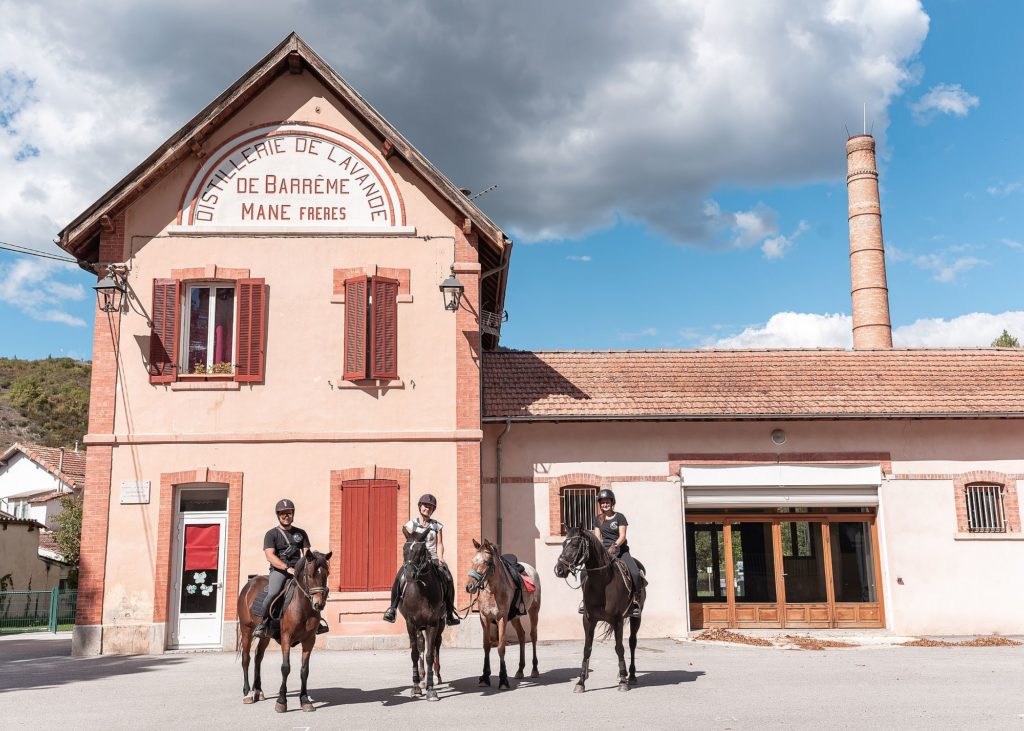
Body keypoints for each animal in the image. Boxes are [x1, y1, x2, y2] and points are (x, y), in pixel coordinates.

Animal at [235, 548, 331, 708]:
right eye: (310, 575)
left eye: (327, 574)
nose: (319, 604)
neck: (303, 606)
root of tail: (250, 584)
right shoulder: (286, 637)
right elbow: (285, 668)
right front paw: (281, 701)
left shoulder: (309, 640)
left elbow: (304, 670)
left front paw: (304, 700)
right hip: (246, 628)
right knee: (246, 658)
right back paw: (247, 693)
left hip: (266, 636)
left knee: (258, 658)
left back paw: (258, 691)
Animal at [397, 528, 446, 696]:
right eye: (404, 549)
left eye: (421, 550)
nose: (409, 574)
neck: (421, 591)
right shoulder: (411, 623)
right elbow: (415, 652)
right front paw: (417, 686)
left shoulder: (433, 623)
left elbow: (430, 654)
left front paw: (431, 689)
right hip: (419, 626)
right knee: (421, 646)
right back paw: (423, 677)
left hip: (441, 624)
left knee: (436, 645)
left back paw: (437, 676)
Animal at [466, 536, 540, 688]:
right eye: (472, 560)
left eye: (486, 562)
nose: (469, 586)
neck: (492, 590)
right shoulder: (484, 618)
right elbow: (486, 646)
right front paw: (485, 677)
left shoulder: (502, 618)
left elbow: (501, 647)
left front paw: (503, 679)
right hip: (515, 617)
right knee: (522, 636)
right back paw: (520, 670)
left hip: (534, 611)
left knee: (533, 636)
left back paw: (535, 670)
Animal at [557, 524, 643, 688]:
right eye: (564, 544)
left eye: (575, 544)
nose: (558, 569)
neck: (602, 582)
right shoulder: (588, 619)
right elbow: (587, 649)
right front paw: (581, 682)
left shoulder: (617, 620)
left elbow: (619, 648)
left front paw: (623, 681)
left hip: (636, 617)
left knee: (632, 642)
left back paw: (631, 675)